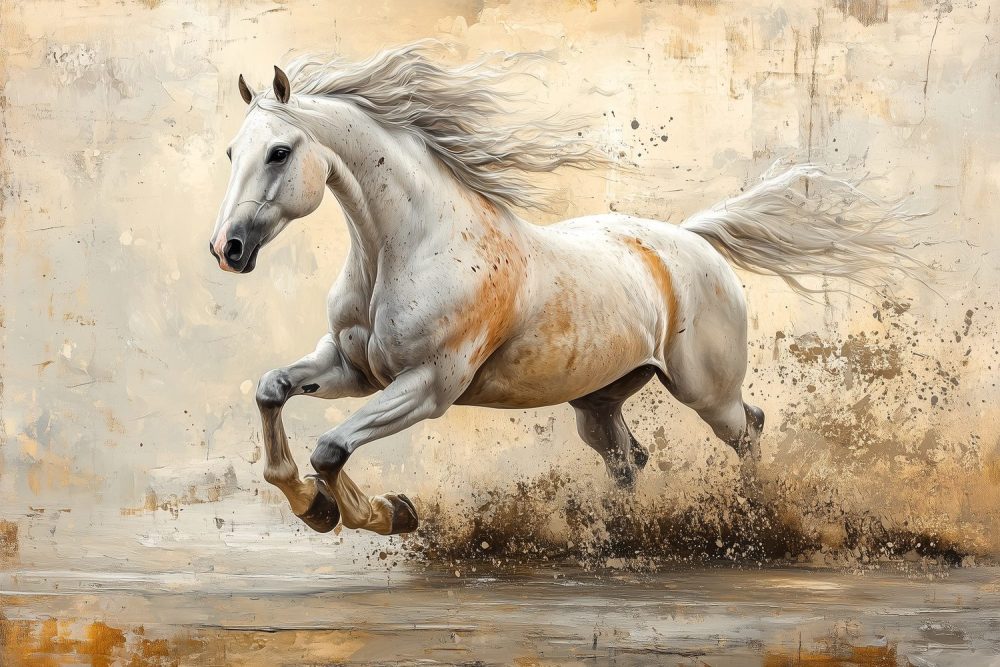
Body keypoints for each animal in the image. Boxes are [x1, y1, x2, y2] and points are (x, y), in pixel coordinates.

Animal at [209, 43, 923, 536]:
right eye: (231, 152)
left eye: (278, 152)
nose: (227, 249)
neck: (408, 247)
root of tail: (694, 241)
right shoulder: (353, 369)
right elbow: (271, 390)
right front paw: (314, 505)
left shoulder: (428, 387)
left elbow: (331, 446)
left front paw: (385, 513)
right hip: (599, 400)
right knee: (629, 458)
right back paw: (615, 542)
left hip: (706, 391)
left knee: (748, 428)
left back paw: (758, 522)